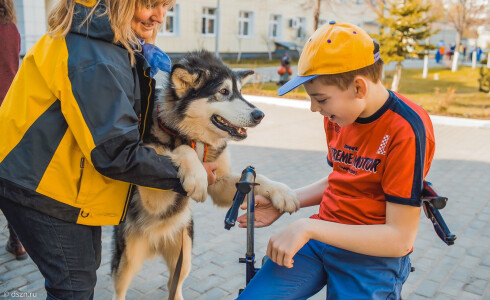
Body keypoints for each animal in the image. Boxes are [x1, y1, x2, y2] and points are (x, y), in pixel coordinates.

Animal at [112, 50, 298, 298]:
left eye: (241, 92)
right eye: (224, 92)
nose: (260, 114)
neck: (196, 138)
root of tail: (157, 241)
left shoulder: (220, 184)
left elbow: (258, 180)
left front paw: (283, 192)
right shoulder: (153, 196)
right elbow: (180, 150)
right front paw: (195, 174)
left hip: (184, 254)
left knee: (174, 285)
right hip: (127, 259)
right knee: (120, 289)